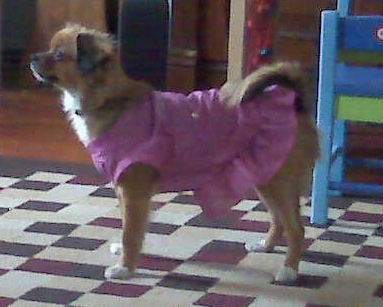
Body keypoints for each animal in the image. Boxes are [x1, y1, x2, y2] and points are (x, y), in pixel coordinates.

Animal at [30, 24, 320, 286]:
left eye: (59, 55)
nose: (32, 58)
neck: (107, 99)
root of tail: (295, 103)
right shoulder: (124, 189)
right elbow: (130, 227)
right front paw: (126, 255)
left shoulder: (134, 190)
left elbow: (130, 232)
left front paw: (125, 268)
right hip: (265, 177)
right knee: (279, 220)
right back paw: (266, 246)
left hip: (276, 182)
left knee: (296, 228)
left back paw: (289, 271)